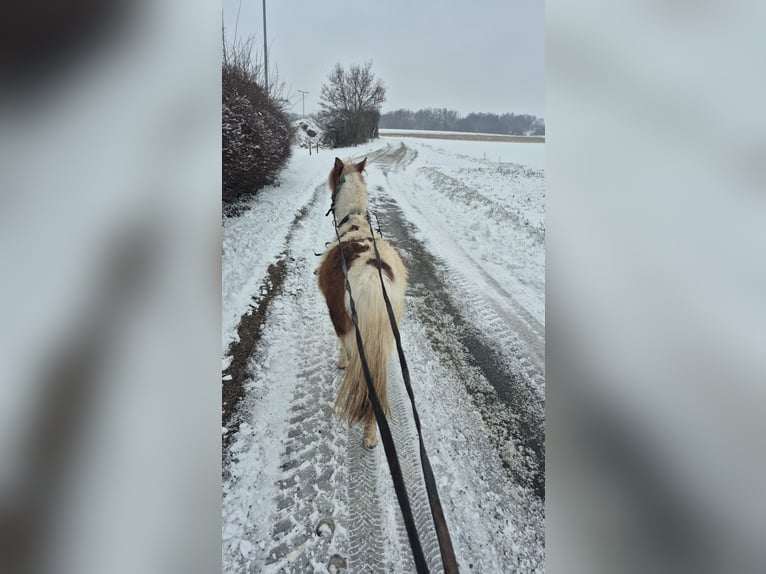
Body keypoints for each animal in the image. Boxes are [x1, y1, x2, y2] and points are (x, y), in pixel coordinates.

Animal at [316, 158, 408, 450]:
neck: (354, 224)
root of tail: (372, 280)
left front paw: (341, 363)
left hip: (353, 330)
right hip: (387, 336)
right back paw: (372, 434)